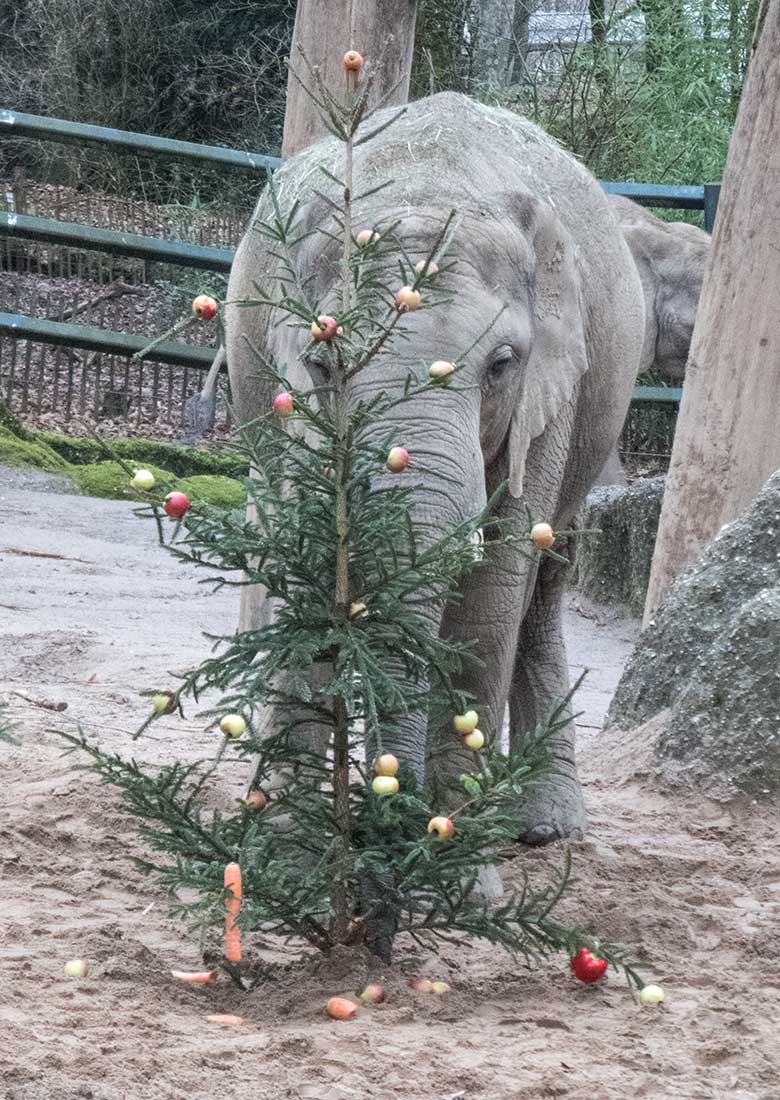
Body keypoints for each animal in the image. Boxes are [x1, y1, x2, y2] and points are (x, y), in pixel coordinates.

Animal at [222, 92, 642, 840]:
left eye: (501, 365)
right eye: (324, 362)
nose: (389, 812)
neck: (427, 188)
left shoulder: (550, 392)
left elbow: (493, 591)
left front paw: (454, 854)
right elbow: (308, 555)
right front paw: (287, 841)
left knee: (543, 588)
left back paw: (546, 827)